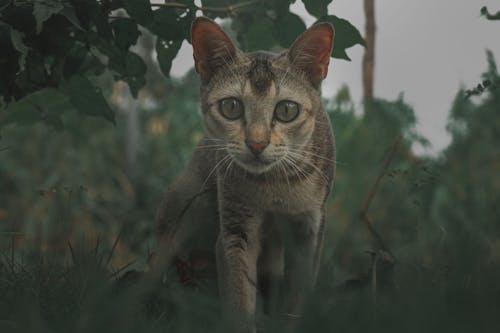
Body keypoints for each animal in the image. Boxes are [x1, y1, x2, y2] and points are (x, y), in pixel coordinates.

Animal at [155, 17, 336, 330]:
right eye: (231, 106)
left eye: (287, 110)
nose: (257, 144)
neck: (275, 186)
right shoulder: (235, 229)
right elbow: (239, 296)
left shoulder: (309, 229)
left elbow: (297, 296)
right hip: (181, 210)